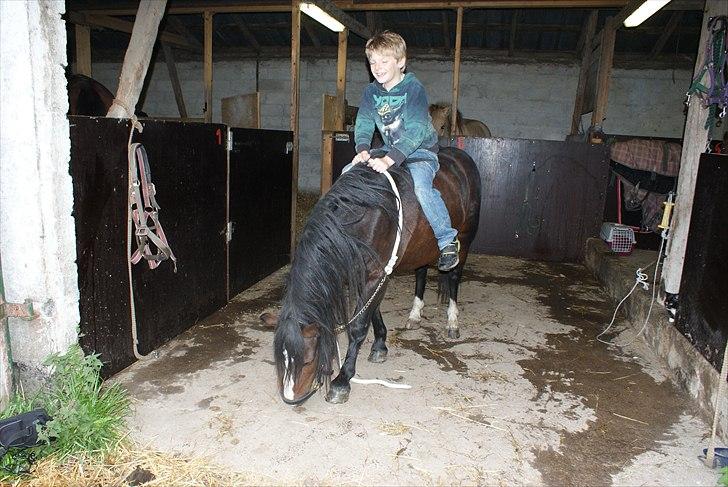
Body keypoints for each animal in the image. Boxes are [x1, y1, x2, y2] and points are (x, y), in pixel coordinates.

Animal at [264, 147, 480, 406]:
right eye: (281, 359)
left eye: (307, 360)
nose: (291, 399)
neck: (362, 216)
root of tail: (462, 157)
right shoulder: (369, 274)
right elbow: (373, 309)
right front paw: (379, 346)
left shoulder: (377, 274)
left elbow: (358, 326)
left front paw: (342, 380)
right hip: (422, 249)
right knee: (421, 273)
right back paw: (415, 315)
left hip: (465, 241)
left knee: (455, 278)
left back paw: (452, 322)